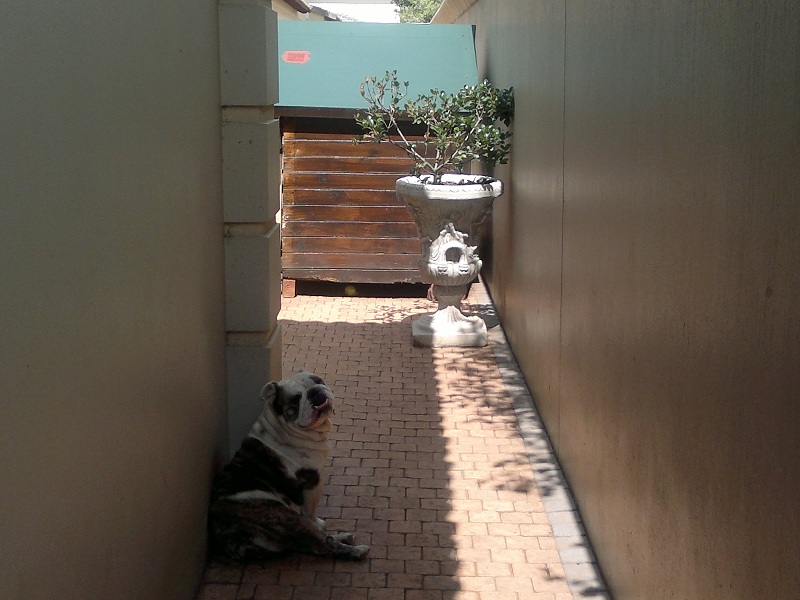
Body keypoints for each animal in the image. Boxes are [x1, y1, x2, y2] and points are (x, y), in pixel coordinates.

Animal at [208, 371, 369, 561]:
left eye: (318, 380)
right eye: (296, 399)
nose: (315, 392)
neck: (284, 429)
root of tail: (224, 536)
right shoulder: (313, 482)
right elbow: (310, 510)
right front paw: (318, 522)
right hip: (287, 518)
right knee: (322, 545)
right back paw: (358, 549)